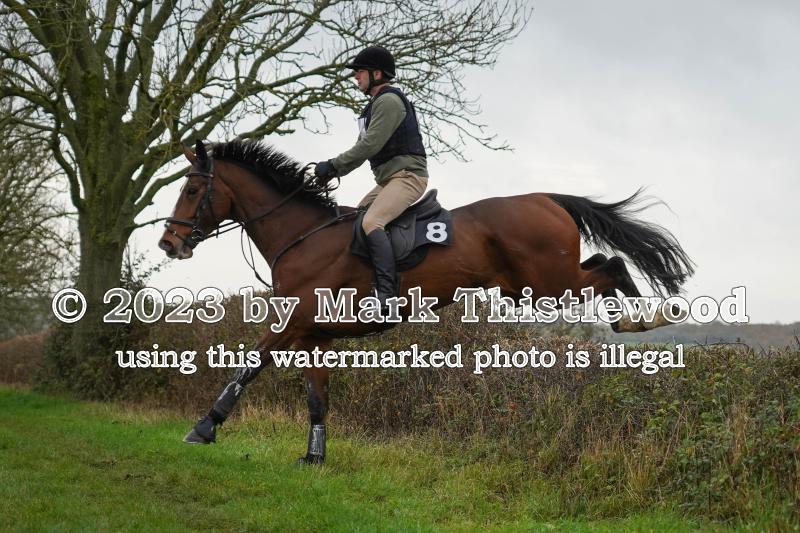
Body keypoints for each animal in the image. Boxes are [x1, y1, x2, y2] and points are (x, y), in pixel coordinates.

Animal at [158, 139, 694, 464]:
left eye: (192, 189)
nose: (168, 244)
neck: (301, 237)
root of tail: (545, 197)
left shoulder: (293, 325)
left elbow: (247, 366)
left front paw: (204, 427)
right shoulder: (315, 337)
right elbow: (316, 398)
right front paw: (314, 456)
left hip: (546, 284)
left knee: (612, 266)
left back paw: (643, 320)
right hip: (532, 284)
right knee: (604, 263)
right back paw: (637, 321)